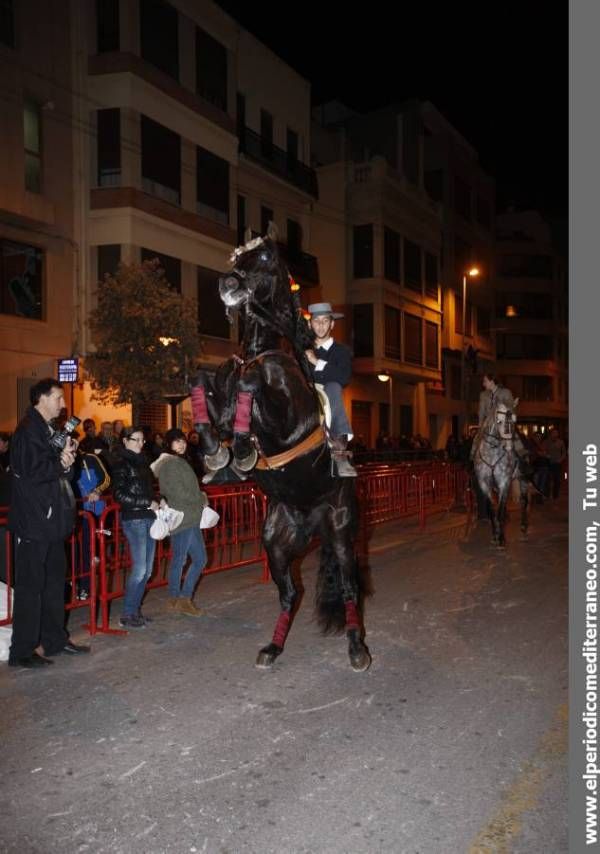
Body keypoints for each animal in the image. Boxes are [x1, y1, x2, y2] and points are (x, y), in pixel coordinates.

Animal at [192, 234, 370, 676]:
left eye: (265, 257)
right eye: (239, 256)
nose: (227, 283)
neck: (263, 349)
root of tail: (314, 520)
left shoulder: (285, 417)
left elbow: (252, 382)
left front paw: (239, 448)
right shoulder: (221, 392)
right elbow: (202, 380)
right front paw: (215, 452)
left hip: (342, 533)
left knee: (349, 587)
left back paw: (357, 648)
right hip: (276, 543)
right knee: (289, 593)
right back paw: (272, 647)